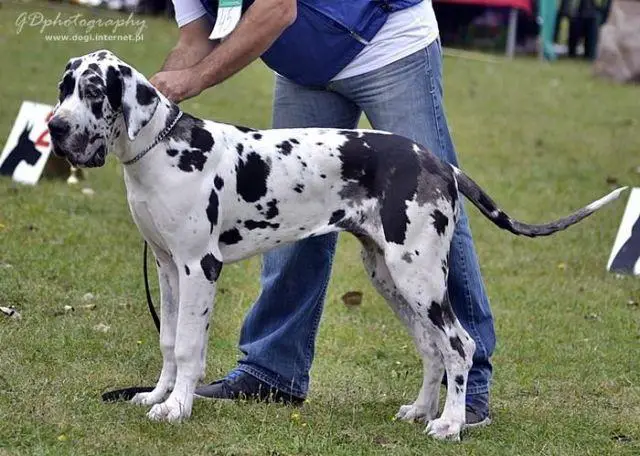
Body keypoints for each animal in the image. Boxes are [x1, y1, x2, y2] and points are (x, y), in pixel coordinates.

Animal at [48, 50, 624, 442]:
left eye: (94, 90)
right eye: (63, 88)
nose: (54, 126)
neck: (162, 147)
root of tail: (439, 161)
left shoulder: (199, 268)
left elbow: (190, 347)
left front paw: (177, 410)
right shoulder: (169, 268)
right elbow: (169, 343)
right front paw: (156, 395)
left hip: (419, 275)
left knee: (459, 344)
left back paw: (451, 424)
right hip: (389, 275)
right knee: (431, 347)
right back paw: (421, 411)